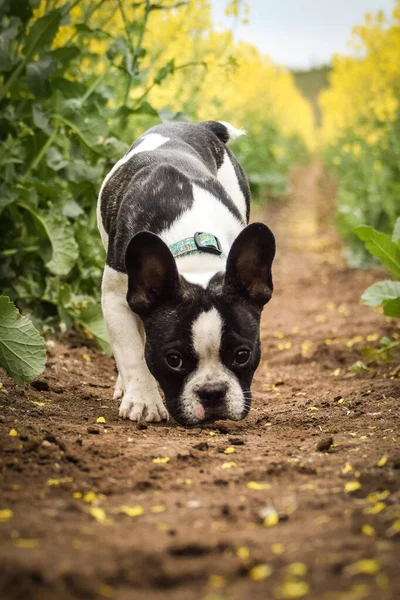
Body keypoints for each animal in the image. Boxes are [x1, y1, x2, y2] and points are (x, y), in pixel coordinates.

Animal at [97, 119, 276, 426]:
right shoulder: (116, 298)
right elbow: (132, 353)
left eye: (242, 355)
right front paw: (143, 400)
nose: (212, 392)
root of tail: (196, 125)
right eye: (174, 360)